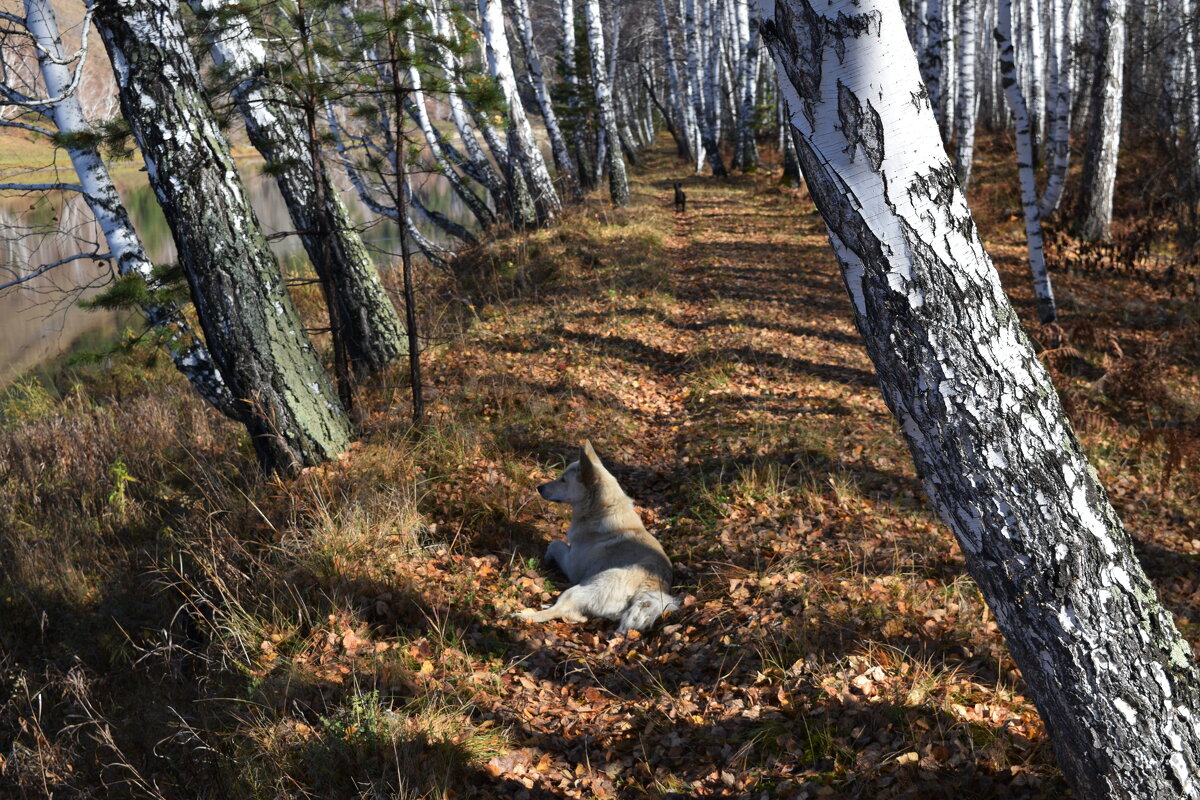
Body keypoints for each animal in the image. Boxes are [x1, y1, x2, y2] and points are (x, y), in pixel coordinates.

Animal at [511, 441, 681, 633]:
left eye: (563, 480)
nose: (539, 487)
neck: (602, 510)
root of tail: (649, 589)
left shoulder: (572, 567)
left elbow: (555, 543)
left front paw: (546, 558)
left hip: (579, 589)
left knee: (559, 611)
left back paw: (523, 616)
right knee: (576, 615)